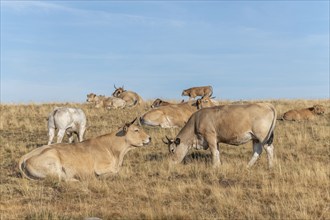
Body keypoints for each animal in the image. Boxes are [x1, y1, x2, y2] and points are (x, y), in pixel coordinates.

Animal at [18, 117, 150, 181]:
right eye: (136, 130)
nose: (150, 138)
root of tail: (25, 157)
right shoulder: (101, 168)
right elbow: (115, 172)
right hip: (53, 159)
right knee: (61, 178)